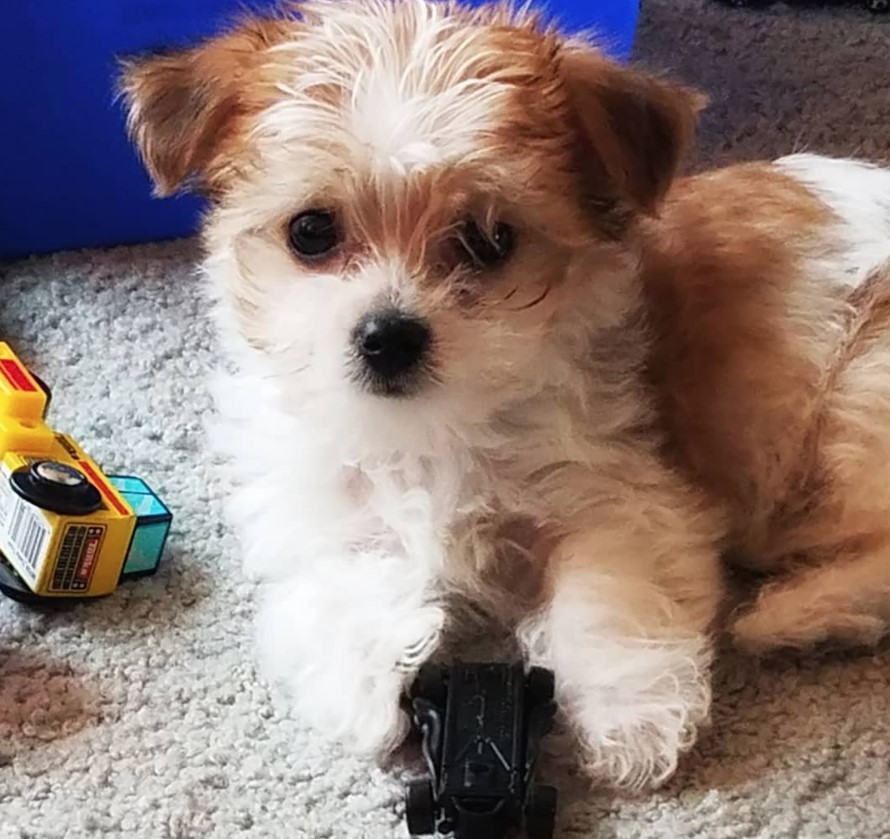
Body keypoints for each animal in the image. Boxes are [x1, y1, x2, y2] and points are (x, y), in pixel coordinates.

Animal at [121, 0, 888, 792]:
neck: (427, 430)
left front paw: (630, 718)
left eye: (490, 240)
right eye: (311, 231)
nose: (389, 335)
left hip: (858, 405)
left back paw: (791, 613)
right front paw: (369, 692)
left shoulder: (625, 497)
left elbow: (608, 596)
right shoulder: (317, 508)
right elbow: (347, 583)